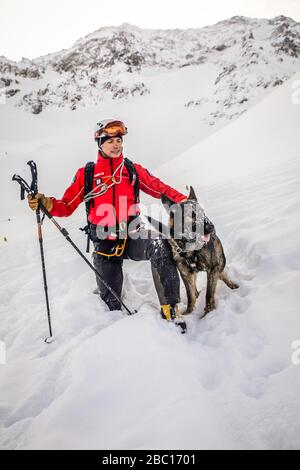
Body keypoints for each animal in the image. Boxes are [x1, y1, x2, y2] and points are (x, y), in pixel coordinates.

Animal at [146, 186, 238, 316]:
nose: (212, 227)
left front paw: (208, 313)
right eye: (192, 215)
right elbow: (190, 295)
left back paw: (232, 285)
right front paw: (189, 312)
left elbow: (209, 293)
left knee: (221, 272)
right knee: (195, 289)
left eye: (203, 212)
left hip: (220, 261)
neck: (190, 250)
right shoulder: (185, 273)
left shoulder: (212, 268)